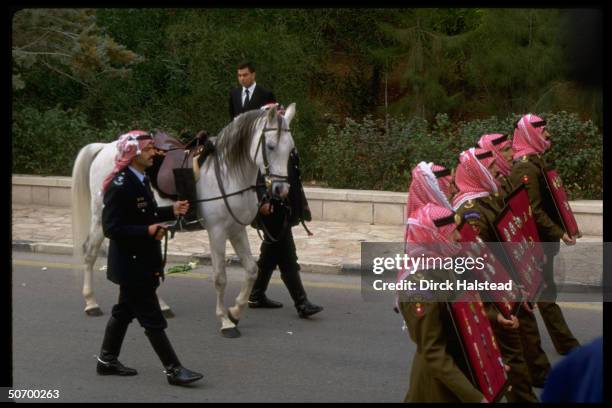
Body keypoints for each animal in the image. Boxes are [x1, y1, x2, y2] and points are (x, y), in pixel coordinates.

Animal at [71, 105, 296, 338]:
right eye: (270, 146)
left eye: (290, 149)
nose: (281, 189)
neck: (228, 174)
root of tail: (104, 148)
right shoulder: (217, 232)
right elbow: (220, 278)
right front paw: (225, 321)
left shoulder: (236, 230)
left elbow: (252, 270)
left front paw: (235, 312)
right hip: (101, 220)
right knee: (90, 253)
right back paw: (91, 303)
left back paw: (161, 306)